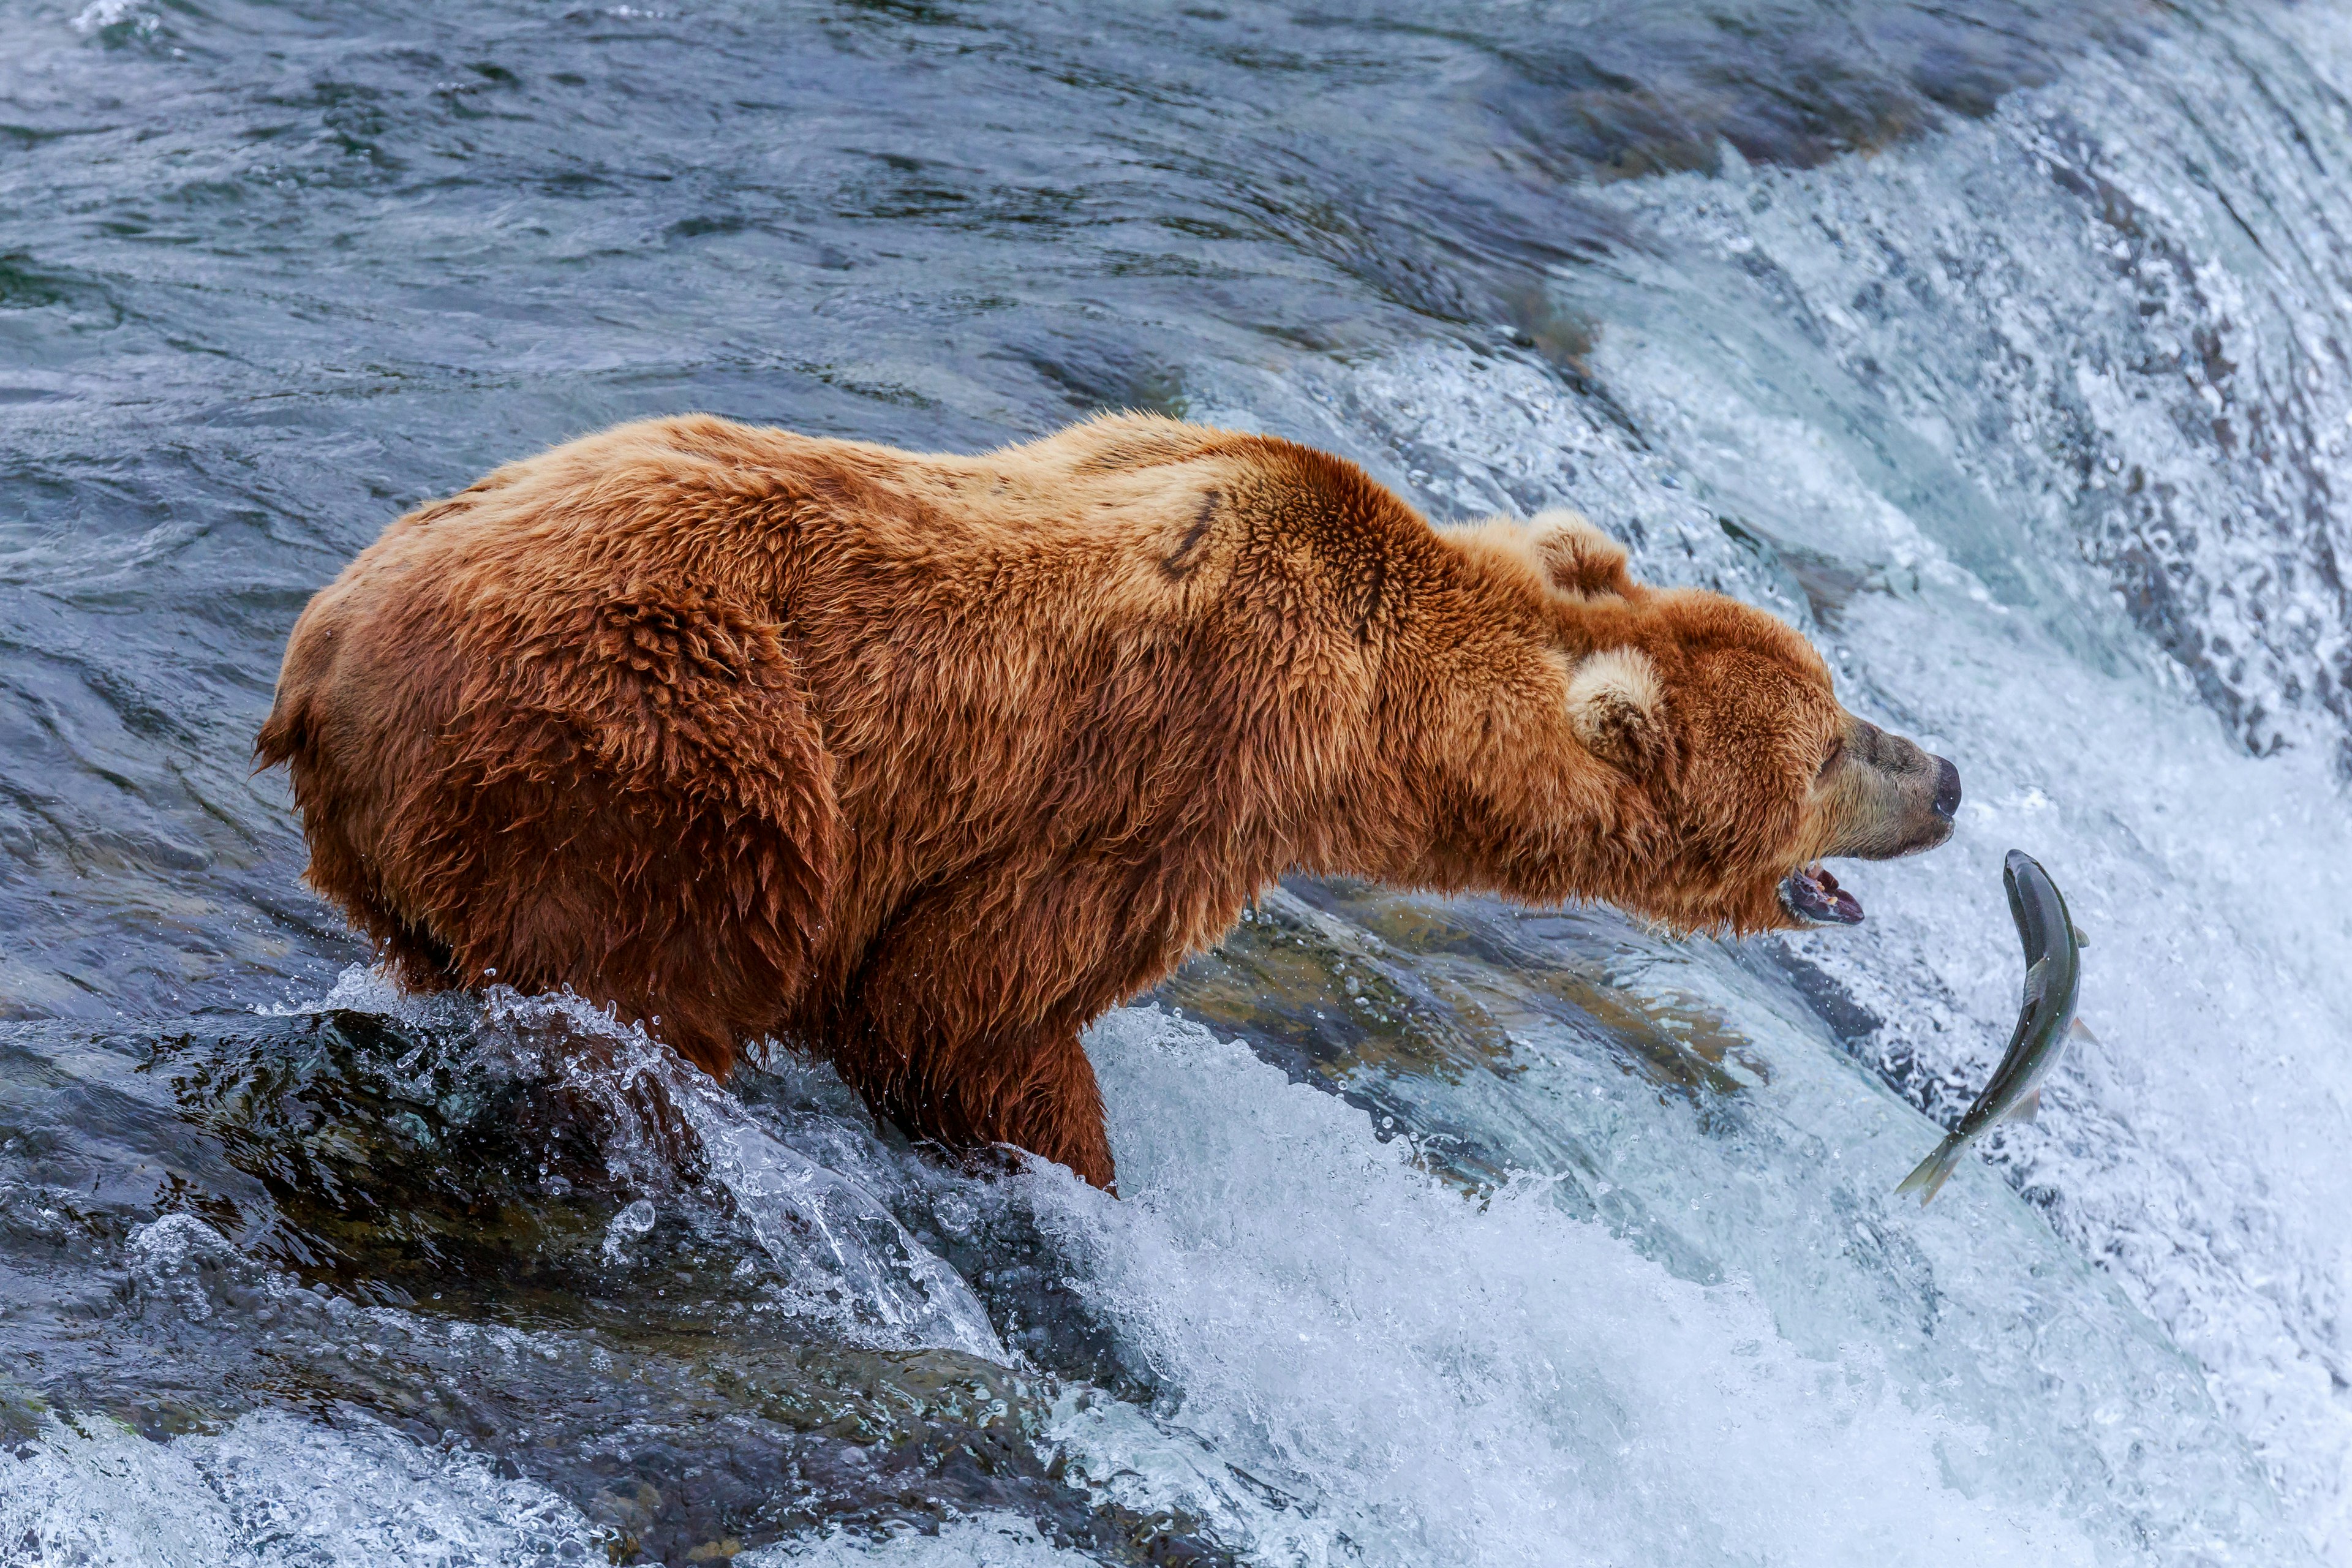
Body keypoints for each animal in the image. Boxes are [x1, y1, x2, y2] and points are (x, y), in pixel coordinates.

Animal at [257, 413, 1956, 1189]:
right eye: (1829, 751)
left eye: (1841, 702)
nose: (1945, 773)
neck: (1372, 712)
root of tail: (321, 648)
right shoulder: (1184, 762)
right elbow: (967, 1000)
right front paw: (1071, 1157)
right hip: (659, 756)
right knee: (662, 973)